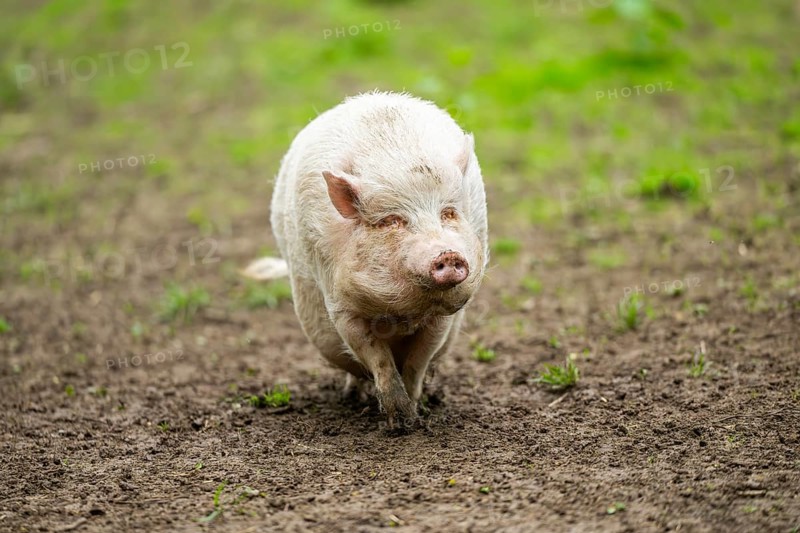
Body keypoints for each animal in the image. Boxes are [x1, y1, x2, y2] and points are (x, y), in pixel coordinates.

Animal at [246, 91, 489, 426]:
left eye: (449, 213)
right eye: (392, 221)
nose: (448, 254)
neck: (402, 312)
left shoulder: (443, 318)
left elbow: (418, 362)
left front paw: (414, 416)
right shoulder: (342, 308)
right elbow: (375, 356)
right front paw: (397, 421)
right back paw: (352, 397)